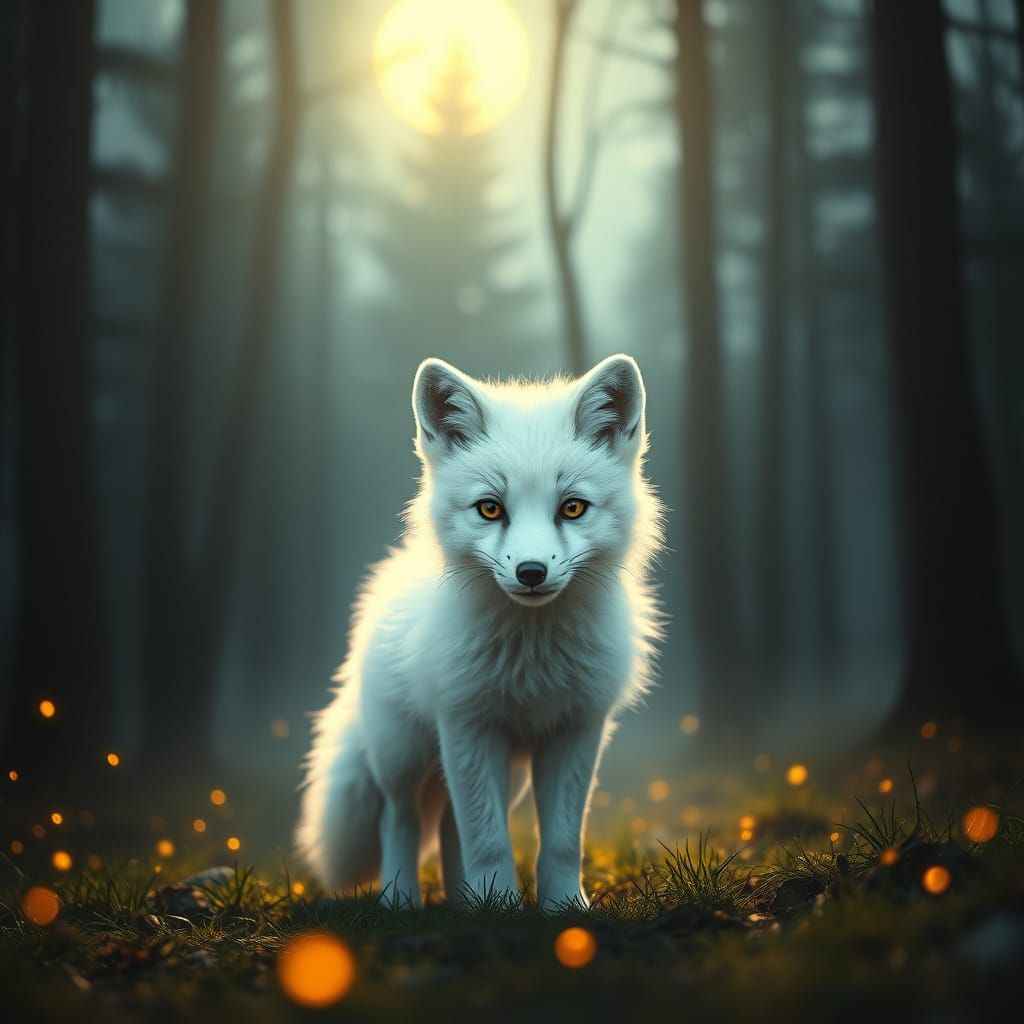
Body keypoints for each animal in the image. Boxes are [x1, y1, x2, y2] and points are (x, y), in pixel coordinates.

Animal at [294, 354, 664, 910]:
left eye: (572, 507)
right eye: (490, 508)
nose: (531, 572)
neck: (533, 657)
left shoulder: (576, 729)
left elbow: (560, 842)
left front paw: (561, 909)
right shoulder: (468, 725)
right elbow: (488, 842)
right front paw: (503, 909)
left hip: (503, 774)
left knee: (449, 827)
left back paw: (463, 902)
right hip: (404, 755)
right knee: (400, 820)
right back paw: (402, 899)